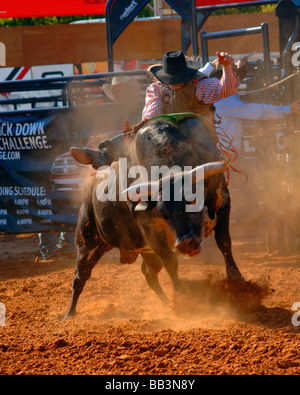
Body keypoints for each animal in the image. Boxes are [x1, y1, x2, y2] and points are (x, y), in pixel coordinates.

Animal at [63, 113, 244, 318]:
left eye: (192, 201)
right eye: (163, 213)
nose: (185, 243)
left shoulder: (223, 201)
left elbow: (224, 241)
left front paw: (236, 277)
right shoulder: (150, 230)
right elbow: (171, 261)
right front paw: (183, 298)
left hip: (145, 251)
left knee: (149, 274)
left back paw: (165, 303)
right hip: (88, 241)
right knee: (80, 276)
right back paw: (69, 314)